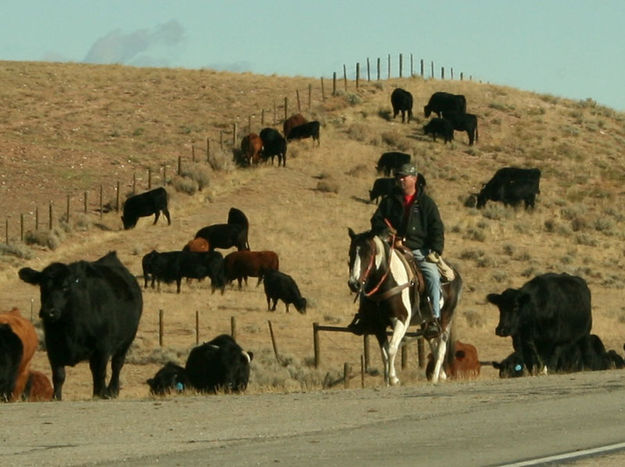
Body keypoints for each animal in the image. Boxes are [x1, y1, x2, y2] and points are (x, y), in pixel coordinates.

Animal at [18, 250, 143, 400]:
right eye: (42, 286)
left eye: (65, 287)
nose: (48, 311)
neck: (69, 330)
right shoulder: (52, 347)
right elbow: (59, 375)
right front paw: (56, 397)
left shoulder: (102, 347)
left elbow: (99, 373)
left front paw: (99, 394)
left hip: (127, 340)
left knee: (117, 364)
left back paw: (112, 390)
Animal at [344, 229, 460, 386]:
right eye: (351, 252)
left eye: (368, 254)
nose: (354, 283)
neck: (386, 283)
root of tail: (455, 273)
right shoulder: (378, 325)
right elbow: (385, 352)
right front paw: (387, 379)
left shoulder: (401, 319)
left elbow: (392, 348)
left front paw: (393, 378)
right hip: (428, 323)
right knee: (434, 345)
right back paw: (441, 375)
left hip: (445, 319)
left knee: (441, 348)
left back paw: (435, 377)